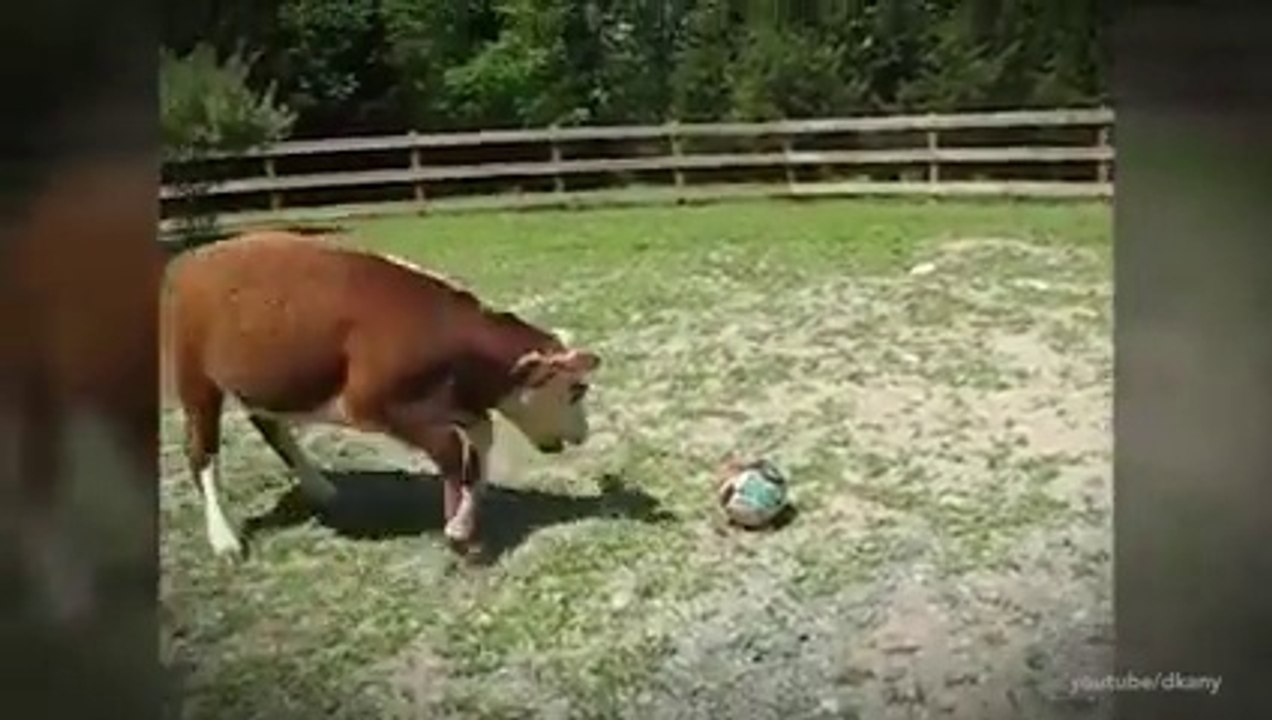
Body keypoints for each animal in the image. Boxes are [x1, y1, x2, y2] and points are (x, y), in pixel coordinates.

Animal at [160, 231, 602, 559]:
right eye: (575, 390)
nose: (583, 436)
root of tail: (193, 259)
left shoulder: (452, 402)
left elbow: (480, 438)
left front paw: (463, 518)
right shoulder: (372, 406)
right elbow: (450, 449)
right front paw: (456, 529)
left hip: (266, 381)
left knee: (272, 428)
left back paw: (320, 488)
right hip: (197, 379)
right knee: (201, 450)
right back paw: (224, 538)